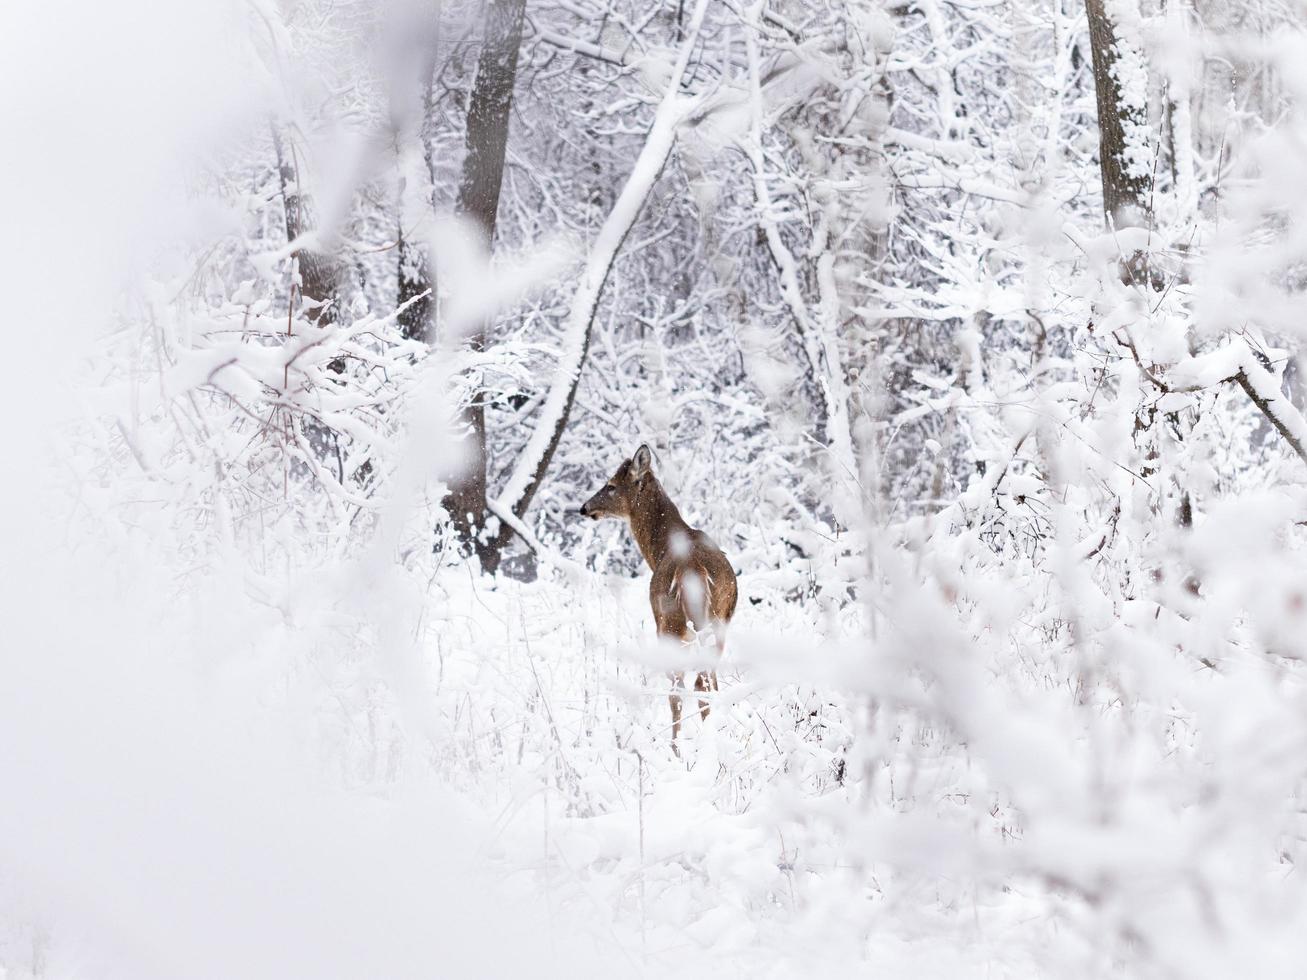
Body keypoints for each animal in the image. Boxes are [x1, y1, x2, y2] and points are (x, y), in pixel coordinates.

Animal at [580, 446, 742, 752]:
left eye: (611, 485)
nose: (584, 507)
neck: (660, 549)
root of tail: (694, 570)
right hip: (717, 622)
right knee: (708, 681)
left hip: (670, 623)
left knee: (682, 687)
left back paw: (676, 748)